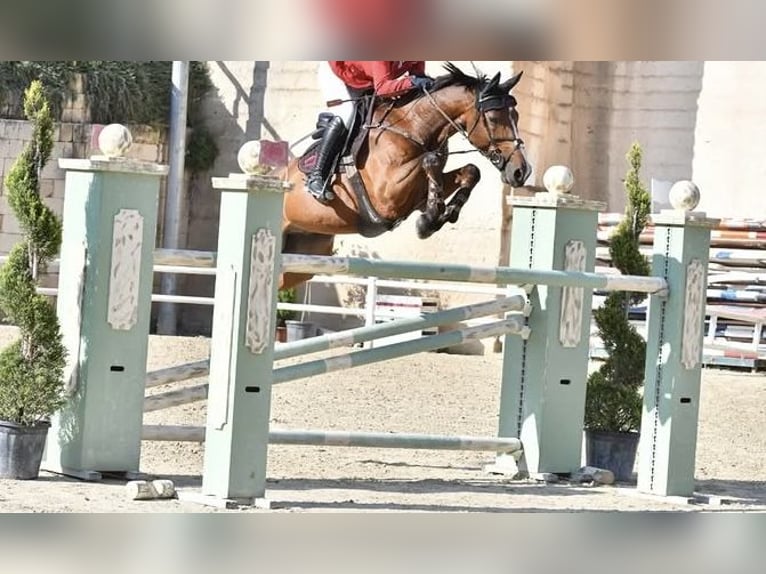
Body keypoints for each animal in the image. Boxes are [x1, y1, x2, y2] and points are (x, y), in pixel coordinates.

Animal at [278, 62, 531, 290]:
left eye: (518, 116)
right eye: (494, 118)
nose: (521, 171)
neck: (414, 126)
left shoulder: (415, 195)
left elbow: (470, 171)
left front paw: (442, 214)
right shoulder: (387, 197)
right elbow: (430, 160)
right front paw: (430, 220)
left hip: (299, 260)